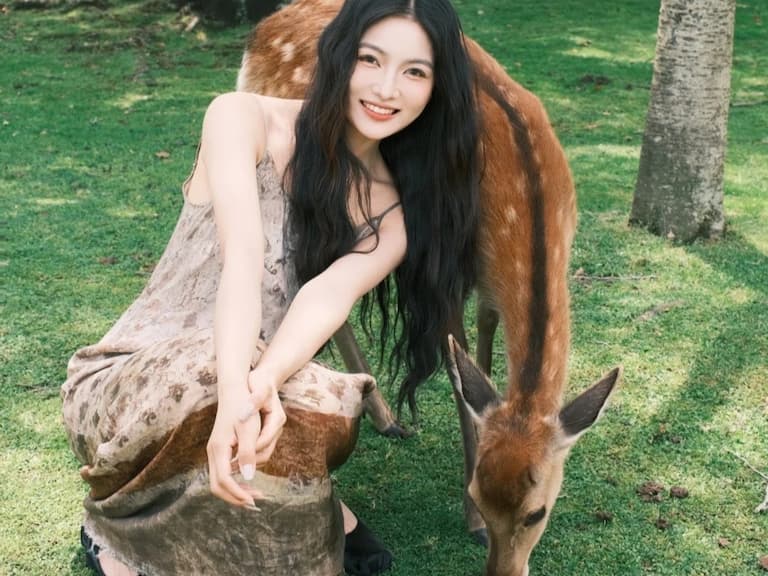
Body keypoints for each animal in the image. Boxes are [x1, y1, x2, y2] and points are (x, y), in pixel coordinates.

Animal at [236, 2, 620, 574]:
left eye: (539, 511)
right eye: (481, 493)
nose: (504, 570)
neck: (529, 205)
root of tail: (261, 31)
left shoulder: (485, 282)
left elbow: (484, 348)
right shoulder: (446, 269)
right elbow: (462, 378)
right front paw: (471, 519)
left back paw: (385, 416)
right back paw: (383, 416)